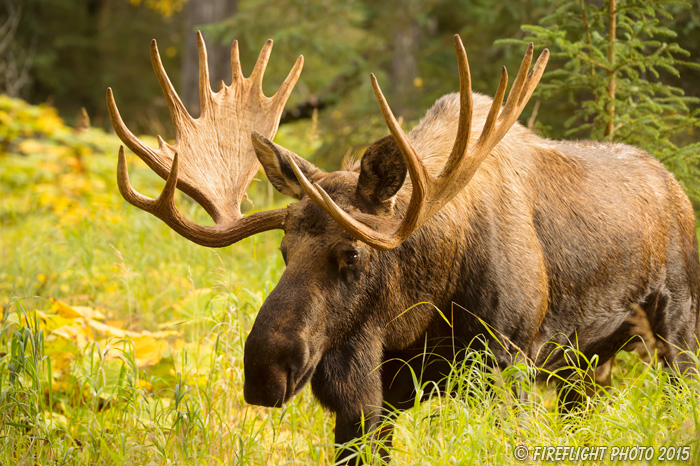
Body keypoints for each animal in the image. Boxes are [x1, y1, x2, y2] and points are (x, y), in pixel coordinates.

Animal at [105, 32, 700, 462]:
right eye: (282, 250)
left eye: (352, 253)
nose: (264, 371)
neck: (423, 308)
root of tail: (674, 185)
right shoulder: (376, 399)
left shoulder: (507, 366)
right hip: (585, 363)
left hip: (676, 327)